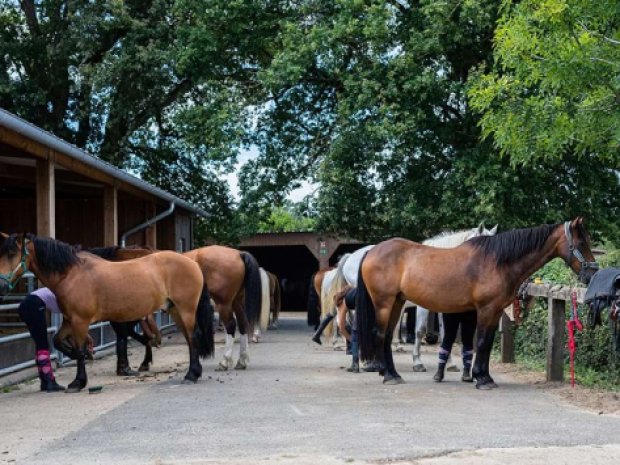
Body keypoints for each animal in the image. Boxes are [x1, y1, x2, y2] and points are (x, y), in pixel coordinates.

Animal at [0, 232, 216, 392]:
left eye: (12, 253)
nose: (1, 285)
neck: (72, 274)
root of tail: (193, 263)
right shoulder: (69, 320)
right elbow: (58, 342)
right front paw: (79, 357)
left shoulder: (80, 321)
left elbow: (79, 350)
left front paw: (78, 382)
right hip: (176, 311)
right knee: (189, 340)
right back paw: (191, 373)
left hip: (186, 310)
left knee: (193, 338)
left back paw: (191, 375)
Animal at [356, 218, 600, 388]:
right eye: (581, 242)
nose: (592, 274)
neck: (498, 261)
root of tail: (371, 251)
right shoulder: (486, 310)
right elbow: (482, 341)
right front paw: (481, 380)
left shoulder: (495, 311)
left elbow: (488, 343)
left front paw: (485, 376)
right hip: (384, 303)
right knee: (380, 334)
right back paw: (388, 375)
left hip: (397, 303)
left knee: (388, 336)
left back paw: (394, 374)